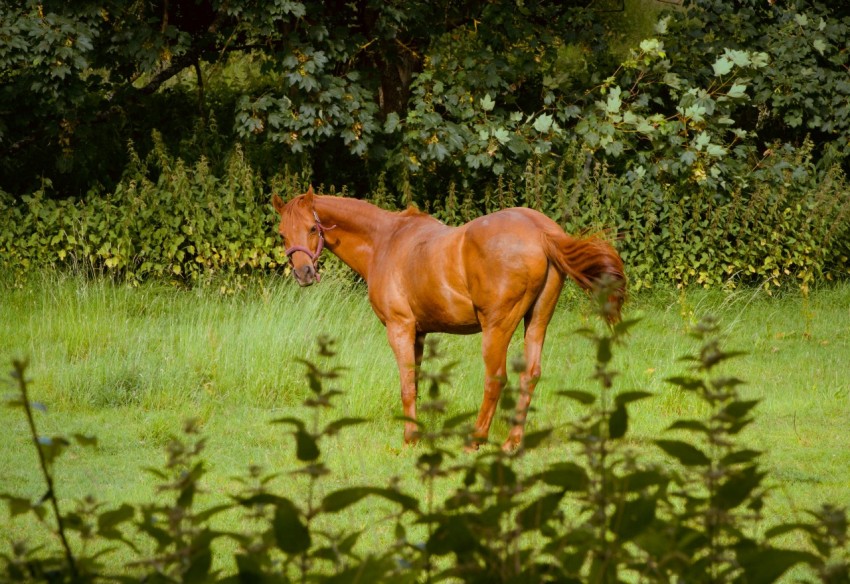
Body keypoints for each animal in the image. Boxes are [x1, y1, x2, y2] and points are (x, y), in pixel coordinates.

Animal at [272, 186, 626, 451]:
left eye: (313, 228)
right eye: (282, 234)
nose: (303, 274)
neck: (385, 241)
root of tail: (540, 230)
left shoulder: (400, 328)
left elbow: (406, 385)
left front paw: (410, 438)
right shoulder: (419, 333)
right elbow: (415, 382)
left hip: (497, 327)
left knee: (496, 378)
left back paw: (476, 439)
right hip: (537, 322)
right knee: (531, 375)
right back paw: (512, 442)